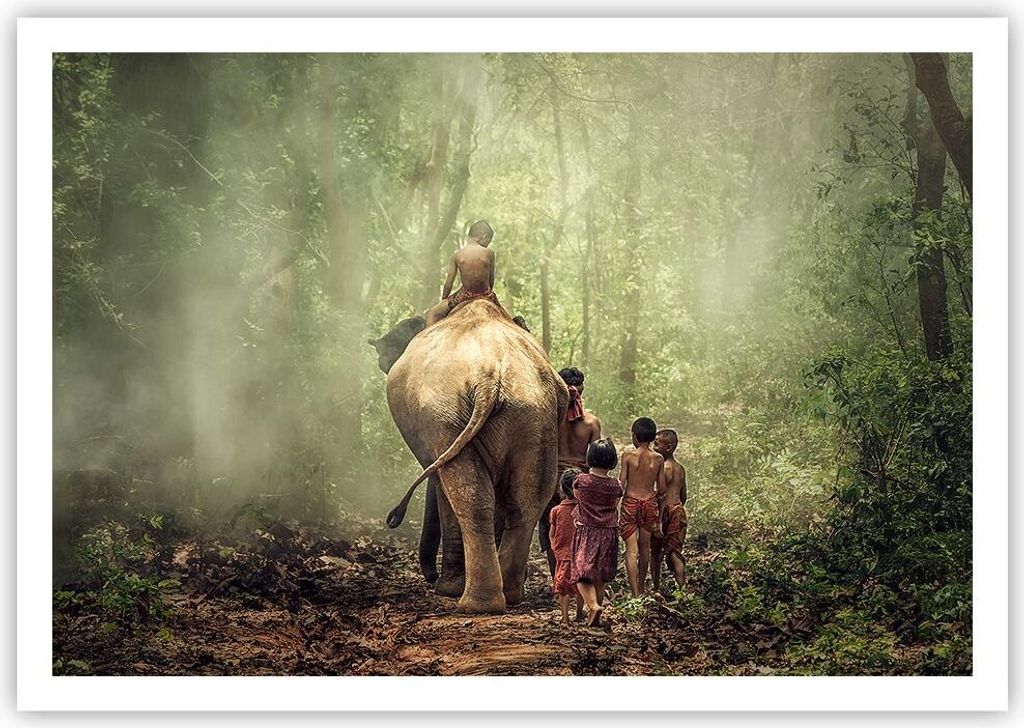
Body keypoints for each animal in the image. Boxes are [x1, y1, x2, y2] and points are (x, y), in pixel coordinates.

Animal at [369, 299, 568, 613]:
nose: (430, 576)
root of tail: (489, 378)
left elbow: (442, 488)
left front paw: (445, 588)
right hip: (534, 415)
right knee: (526, 500)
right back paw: (509, 593)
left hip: (446, 418)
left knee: (468, 495)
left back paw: (473, 601)